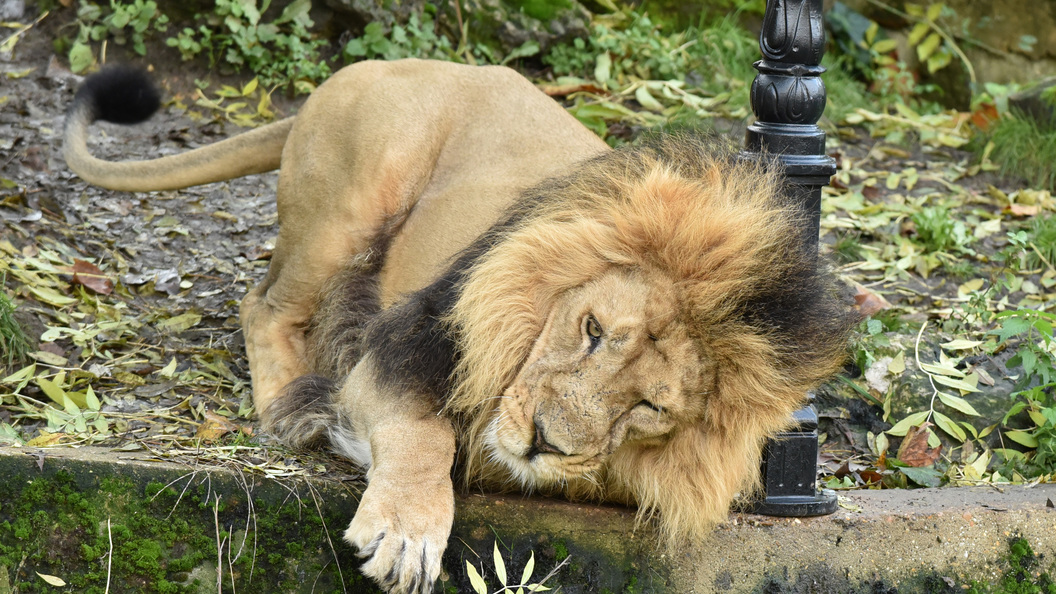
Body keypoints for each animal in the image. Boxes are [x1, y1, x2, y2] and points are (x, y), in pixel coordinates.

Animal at [63, 58, 857, 591]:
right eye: (593, 329)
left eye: (651, 407)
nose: (544, 441)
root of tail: (383, 64)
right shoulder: (401, 349)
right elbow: (423, 435)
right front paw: (405, 532)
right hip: (362, 191)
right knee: (263, 307)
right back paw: (286, 406)